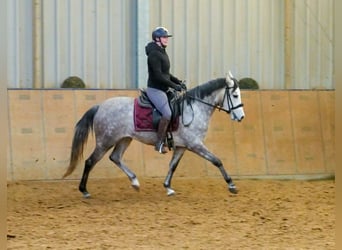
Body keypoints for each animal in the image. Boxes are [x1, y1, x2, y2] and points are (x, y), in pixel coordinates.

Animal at [63, 72, 246, 197]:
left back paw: (135, 181)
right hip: (105, 141)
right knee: (90, 161)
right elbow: (217, 160)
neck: (194, 108)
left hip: (124, 139)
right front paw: (231, 185)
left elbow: (173, 166)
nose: (241, 117)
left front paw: (168, 187)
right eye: (235, 95)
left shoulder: (182, 147)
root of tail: (100, 106)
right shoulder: (195, 145)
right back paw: (84, 191)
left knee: (115, 157)